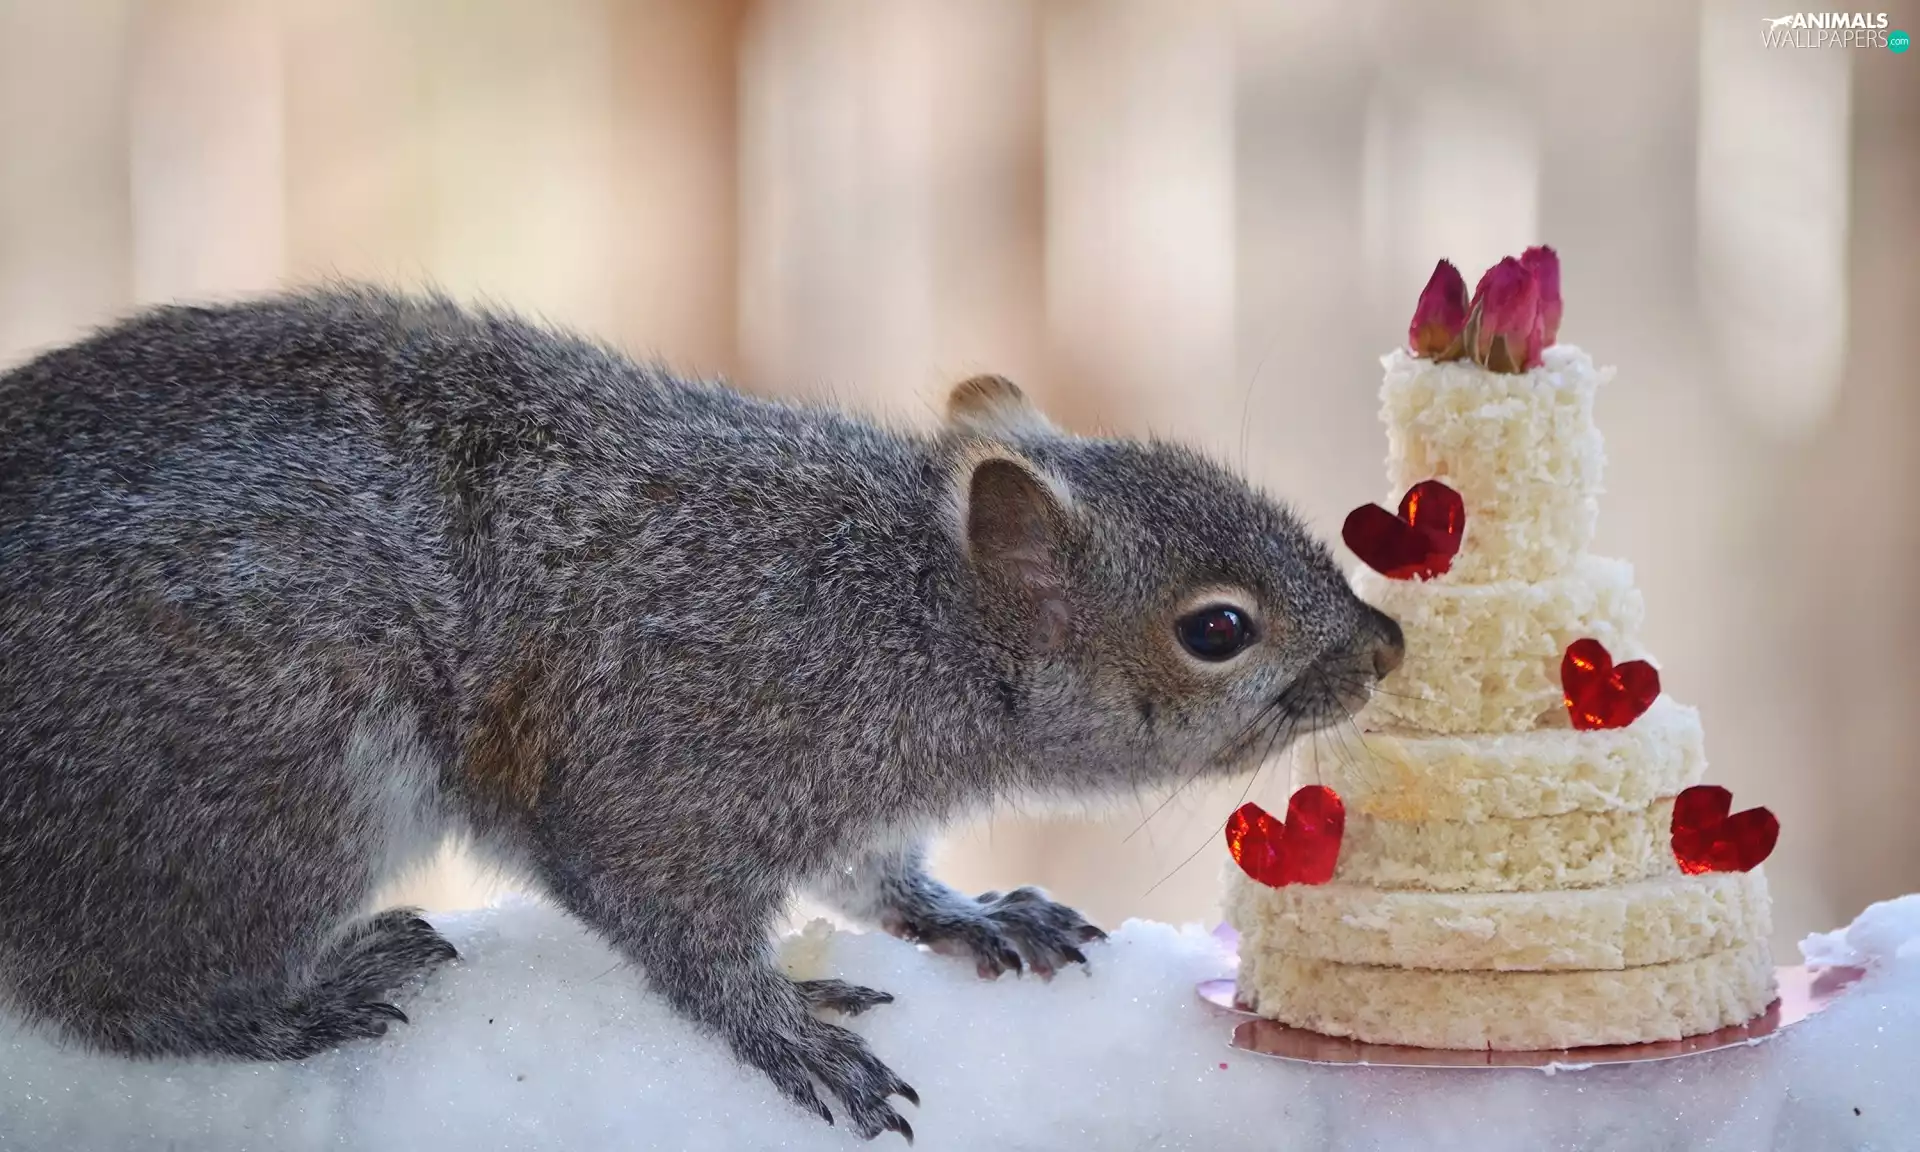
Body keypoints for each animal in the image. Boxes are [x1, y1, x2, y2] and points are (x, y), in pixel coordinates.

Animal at [0, 286, 1403, 1142]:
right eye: (1216, 629)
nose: (1385, 647)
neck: (906, 614)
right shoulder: (685, 752)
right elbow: (668, 919)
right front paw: (786, 1032)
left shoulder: (837, 799)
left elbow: (872, 874)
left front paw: (965, 911)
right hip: (263, 781)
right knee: (115, 996)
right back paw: (303, 998)